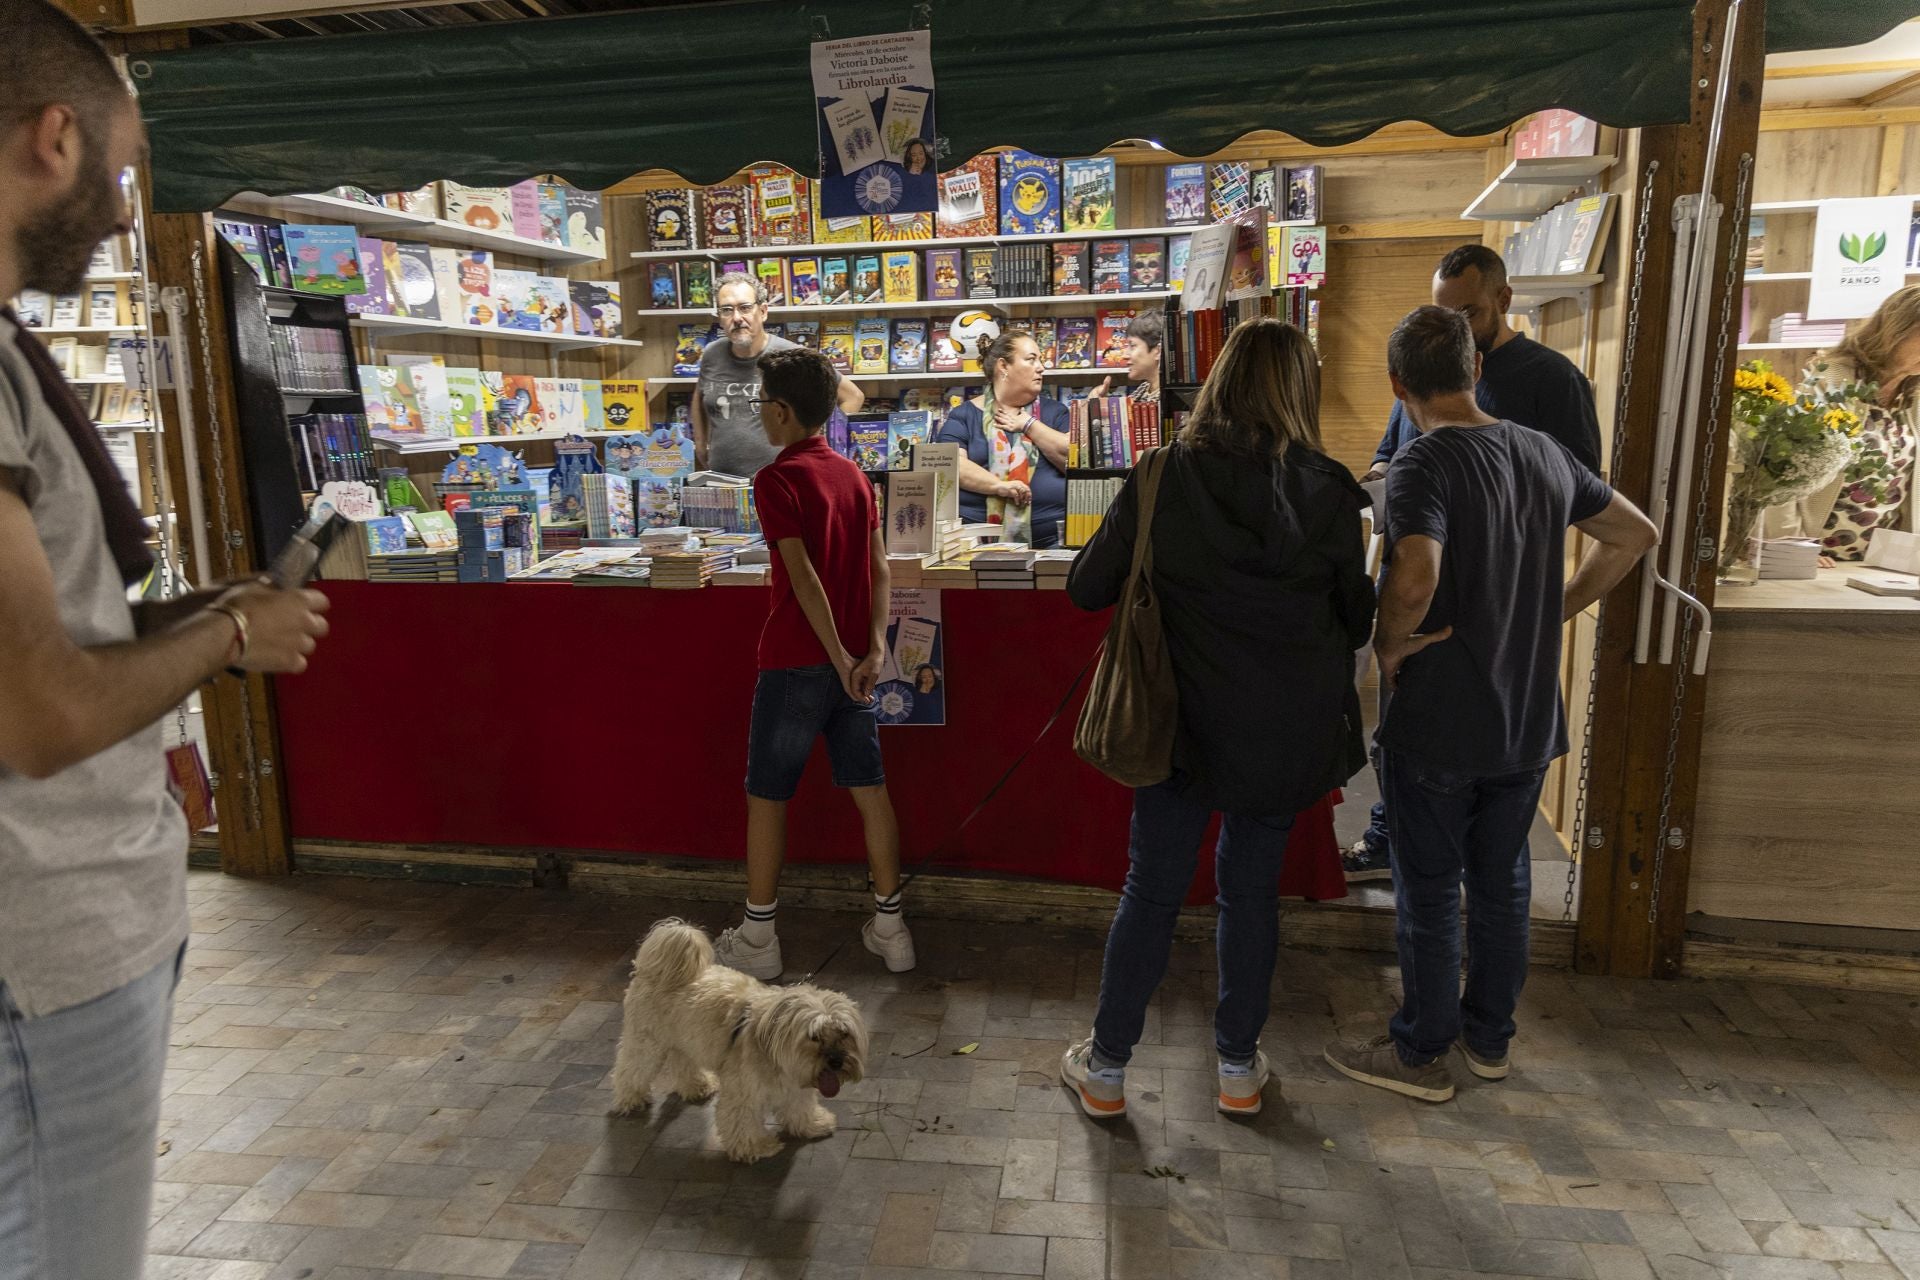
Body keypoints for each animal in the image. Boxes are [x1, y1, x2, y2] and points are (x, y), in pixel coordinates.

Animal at [610, 921, 867, 1159]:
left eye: (844, 1033)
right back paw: (631, 1098)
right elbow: (743, 1121)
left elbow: (800, 1106)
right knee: (630, 1070)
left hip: (685, 1039)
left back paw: (697, 1085)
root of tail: (652, 971)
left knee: (683, 1063)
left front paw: (812, 1124)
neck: (770, 1043)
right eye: (814, 1036)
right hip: (647, 1044)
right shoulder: (743, 1091)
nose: (836, 1061)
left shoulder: (795, 1084)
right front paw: (756, 1146)